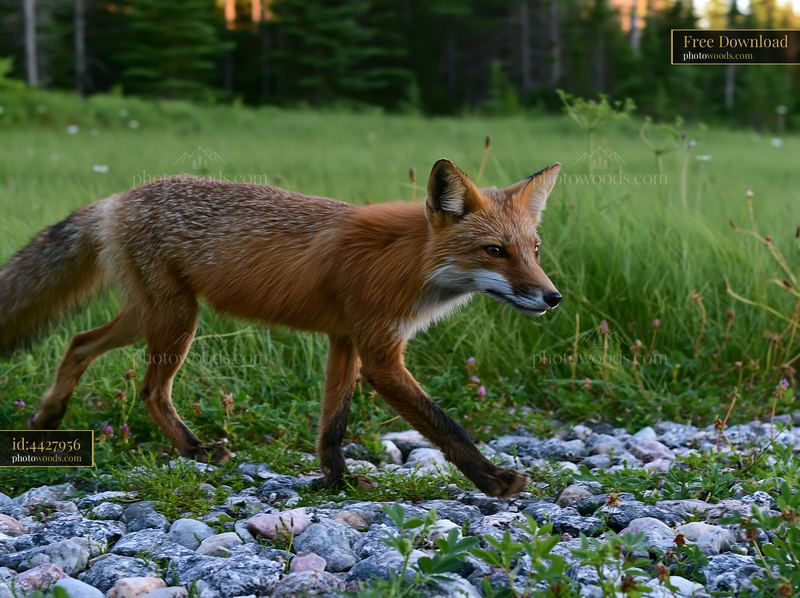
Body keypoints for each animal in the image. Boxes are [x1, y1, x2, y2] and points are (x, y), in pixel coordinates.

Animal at [0, 158, 562, 498]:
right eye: (495, 250)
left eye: (533, 250)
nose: (552, 297)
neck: (408, 262)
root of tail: (117, 198)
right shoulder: (380, 354)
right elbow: (446, 425)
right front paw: (492, 479)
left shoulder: (345, 341)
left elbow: (332, 426)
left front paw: (336, 481)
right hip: (176, 320)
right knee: (150, 389)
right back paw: (194, 449)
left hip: (149, 316)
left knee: (78, 342)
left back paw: (48, 419)